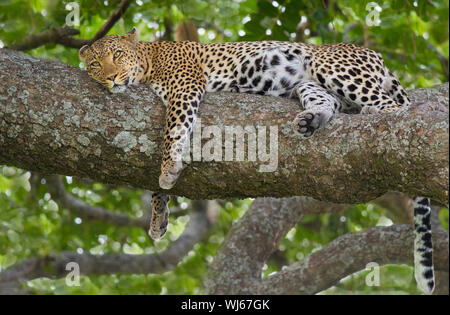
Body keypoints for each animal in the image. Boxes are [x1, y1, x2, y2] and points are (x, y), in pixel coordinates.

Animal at [79, 28, 434, 296]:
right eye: (95, 64)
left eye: (117, 55)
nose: (112, 78)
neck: (149, 59)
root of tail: (375, 56)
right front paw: (159, 215)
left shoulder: (185, 86)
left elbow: (174, 128)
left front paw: (168, 169)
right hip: (310, 84)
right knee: (329, 102)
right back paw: (311, 120)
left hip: (331, 65)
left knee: (394, 107)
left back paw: (375, 112)